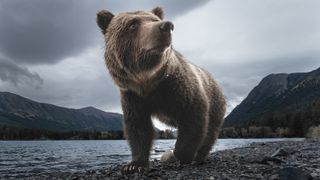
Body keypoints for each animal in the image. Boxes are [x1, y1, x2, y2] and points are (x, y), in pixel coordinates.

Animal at [96, 7, 226, 174]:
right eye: (132, 24)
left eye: (154, 20)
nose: (166, 26)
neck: (148, 81)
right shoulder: (133, 96)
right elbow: (138, 128)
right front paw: (134, 164)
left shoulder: (178, 88)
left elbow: (193, 117)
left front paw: (178, 156)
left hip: (216, 104)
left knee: (210, 132)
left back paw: (198, 157)